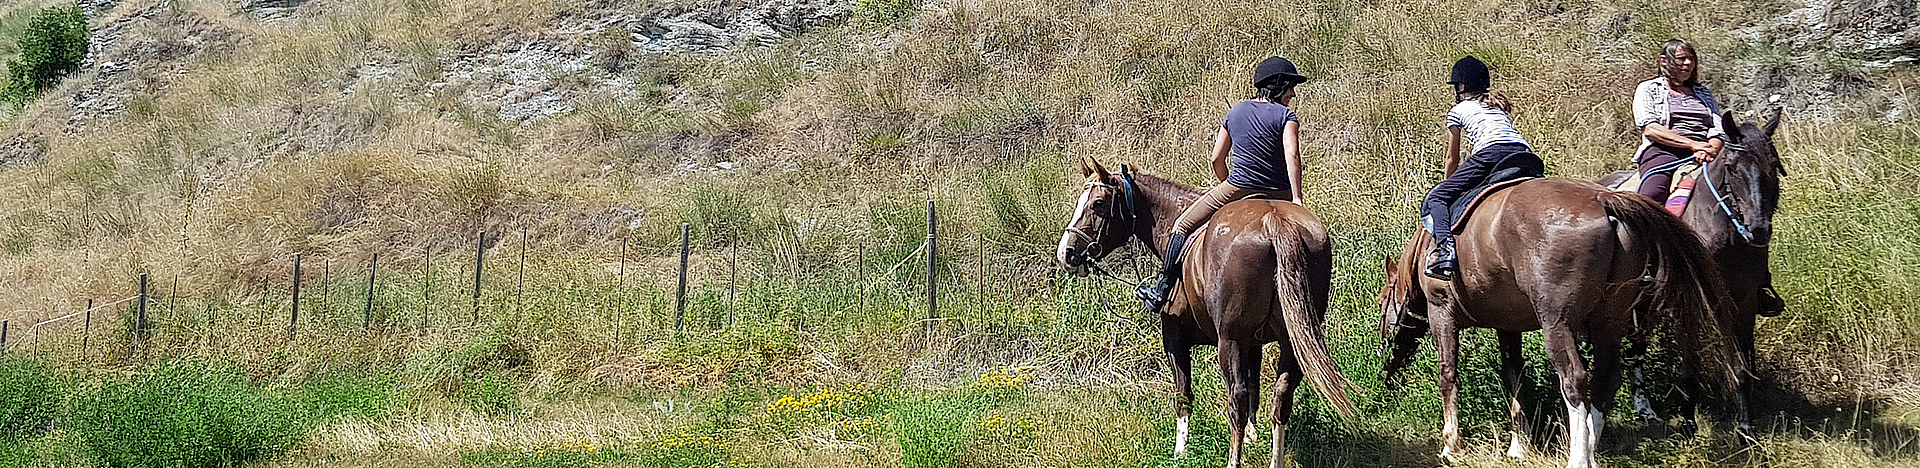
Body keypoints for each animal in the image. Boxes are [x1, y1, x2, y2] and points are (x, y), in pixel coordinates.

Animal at [1059, 157, 1359, 468]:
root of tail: (1274, 221)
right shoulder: (1253, 343)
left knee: (1237, 397)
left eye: (1098, 204)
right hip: (1292, 340)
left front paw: (1180, 451)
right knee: (1281, 395)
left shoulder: (1175, 338)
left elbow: (1184, 394)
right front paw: (1252, 436)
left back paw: (1233, 461)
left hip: (1230, 341)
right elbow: (1254, 385)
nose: (1066, 254)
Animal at [1374, 178, 1751, 468]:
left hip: (1557, 324)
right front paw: (1518, 446)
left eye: (1382, 303)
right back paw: (1592, 452)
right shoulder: (1508, 326)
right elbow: (1514, 377)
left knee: (1573, 380)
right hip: (1608, 322)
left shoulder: (1442, 314)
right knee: (1605, 381)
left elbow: (1448, 375)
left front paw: (1451, 445)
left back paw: (1578, 457)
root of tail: (1605, 199)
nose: (1383, 353)